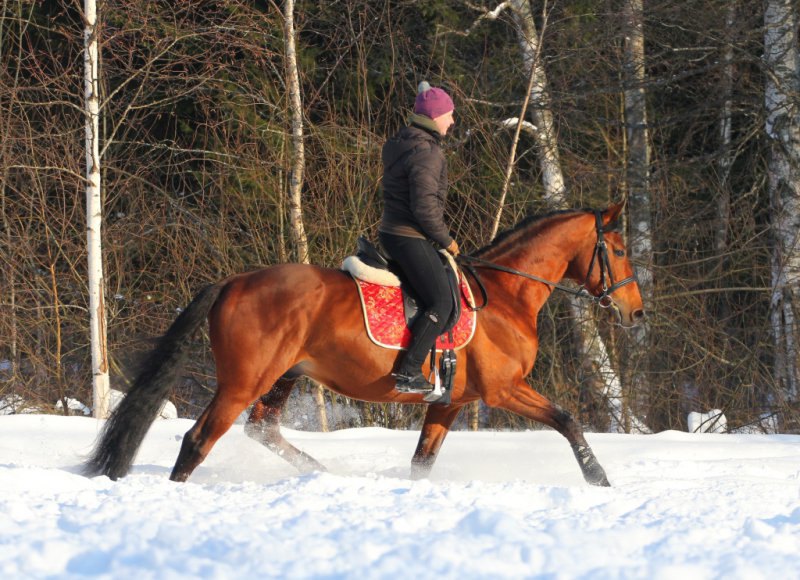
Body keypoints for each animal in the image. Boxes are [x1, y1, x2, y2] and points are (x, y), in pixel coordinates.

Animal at [83, 204, 644, 484]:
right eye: (618, 250)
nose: (635, 312)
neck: (505, 296)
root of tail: (234, 280)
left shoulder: (450, 402)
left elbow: (422, 463)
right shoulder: (503, 390)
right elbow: (568, 421)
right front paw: (599, 480)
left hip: (284, 376)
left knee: (263, 430)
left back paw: (323, 474)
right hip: (243, 382)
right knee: (198, 440)